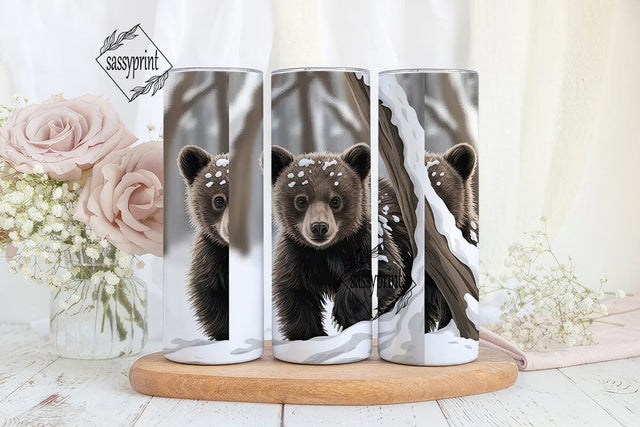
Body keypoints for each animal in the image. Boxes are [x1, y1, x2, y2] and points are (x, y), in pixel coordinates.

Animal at [271, 143, 374, 341]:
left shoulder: (361, 241)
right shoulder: (296, 256)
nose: (319, 227)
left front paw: (345, 314)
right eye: (301, 200)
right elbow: (296, 295)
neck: (326, 251)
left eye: (336, 200)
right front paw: (309, 334)